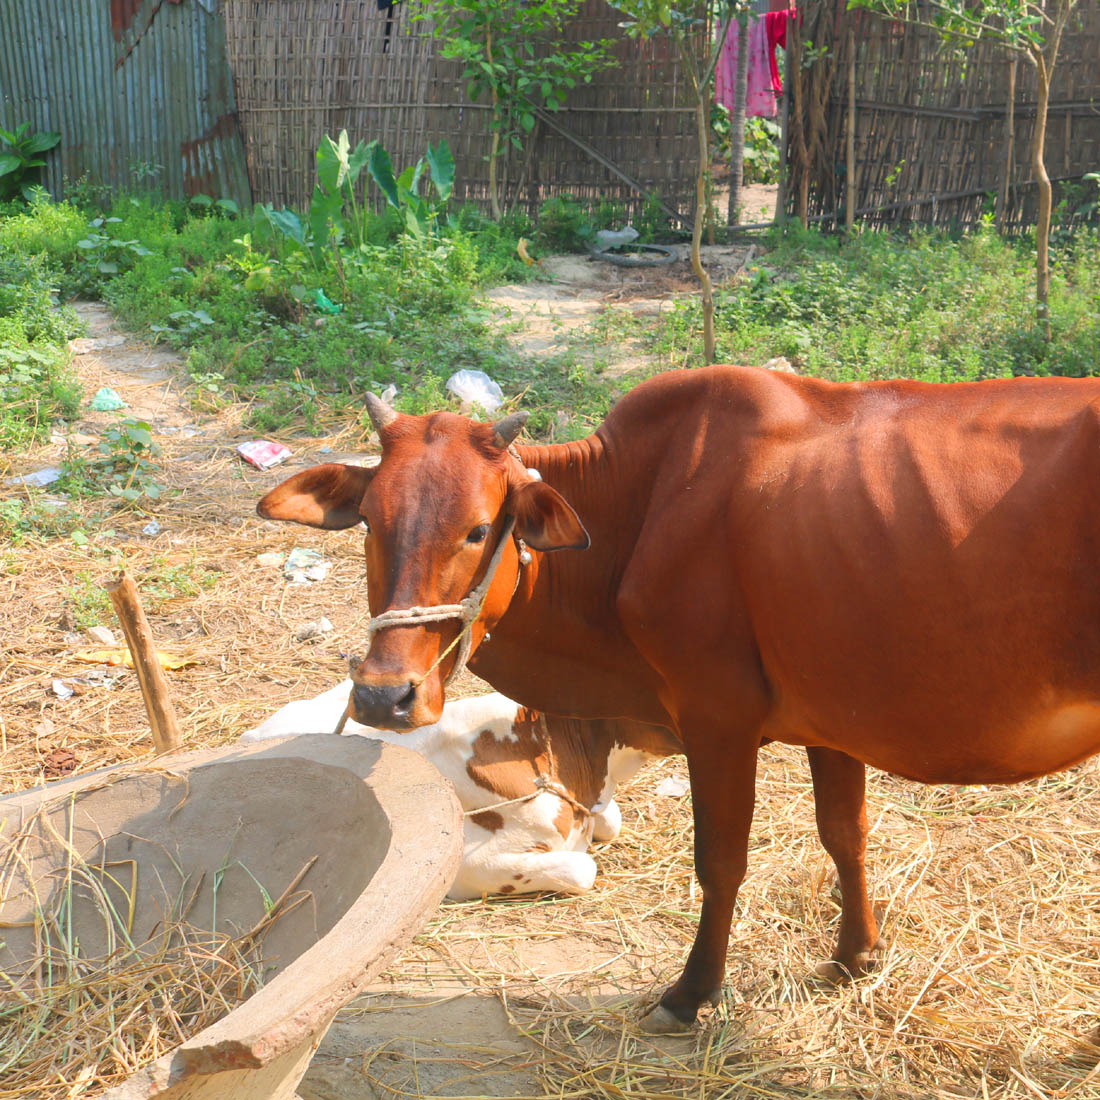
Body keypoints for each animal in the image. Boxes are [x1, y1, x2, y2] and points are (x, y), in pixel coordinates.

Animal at [259, 367, 1100, 1029]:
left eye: (475, 529)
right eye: (370, 522)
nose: (384, 697)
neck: (640, 507)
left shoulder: (715, 714)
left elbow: (721, 859)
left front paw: (692, 993)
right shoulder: (832, 716)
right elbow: (846, 835)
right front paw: (856, 956)